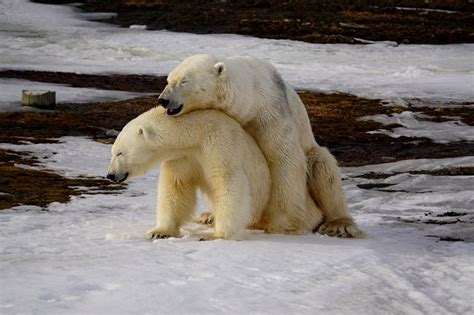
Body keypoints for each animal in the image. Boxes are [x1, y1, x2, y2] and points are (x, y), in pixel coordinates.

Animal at [106, 107, 324, 241]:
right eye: (113, 151)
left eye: (119, 152)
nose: (110, 175)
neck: (196, 134)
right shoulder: (183, 157)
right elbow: (177, 187)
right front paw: (160, 232)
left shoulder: (220, 142)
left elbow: (228, 181)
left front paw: (216, 236)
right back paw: (207, 217)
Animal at [158, 54, 362, 238]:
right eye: (169, 79)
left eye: (184, 81)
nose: (163, 100)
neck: (251, 95)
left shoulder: (270, 112)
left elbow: (284, 158)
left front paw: (281, 223)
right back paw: (208, 215)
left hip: (313, 154)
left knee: (322, 168)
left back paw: (339, 224)